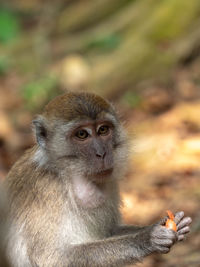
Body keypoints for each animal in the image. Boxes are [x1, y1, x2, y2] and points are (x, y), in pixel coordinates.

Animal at [4, 92, 191, 267]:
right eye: (82, 134)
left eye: (103, 130)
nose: (102, 153)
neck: (65, 173)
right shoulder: (45, 191)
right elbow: (52, 258)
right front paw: (146, 238)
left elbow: (109, 232)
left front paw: (165, 224)